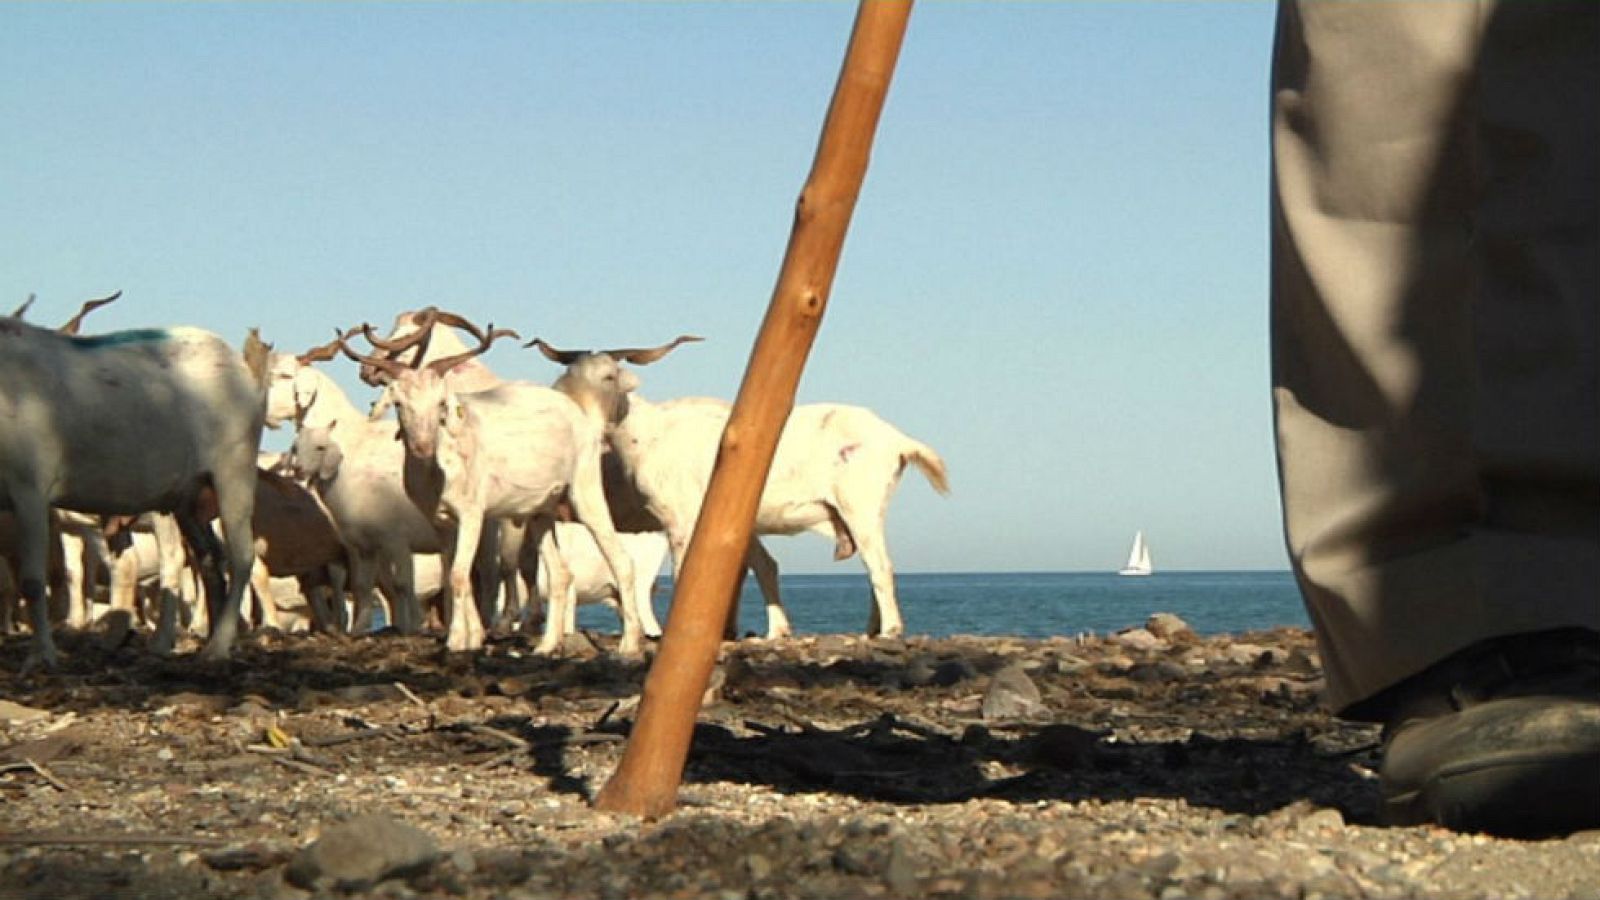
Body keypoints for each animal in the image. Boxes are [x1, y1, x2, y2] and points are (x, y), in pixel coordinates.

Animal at [0, 315, 268, 667]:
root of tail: (241, 366)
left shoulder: (29, 487)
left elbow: (31, 581)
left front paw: (42, 656)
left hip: (234, 470)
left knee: (241, 557)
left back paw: (217, 647)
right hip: (188, 496)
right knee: (209, 558)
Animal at [532, 337, 950, 639]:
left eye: (608, 375)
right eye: (567, 373)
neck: (650, 433)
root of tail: (898, 440)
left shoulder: (680, 520)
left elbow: (687, 572)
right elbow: (762, 567)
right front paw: (773, 631)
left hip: (859, 505)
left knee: (880, 565)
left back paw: (890, 630)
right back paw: (871, 629)